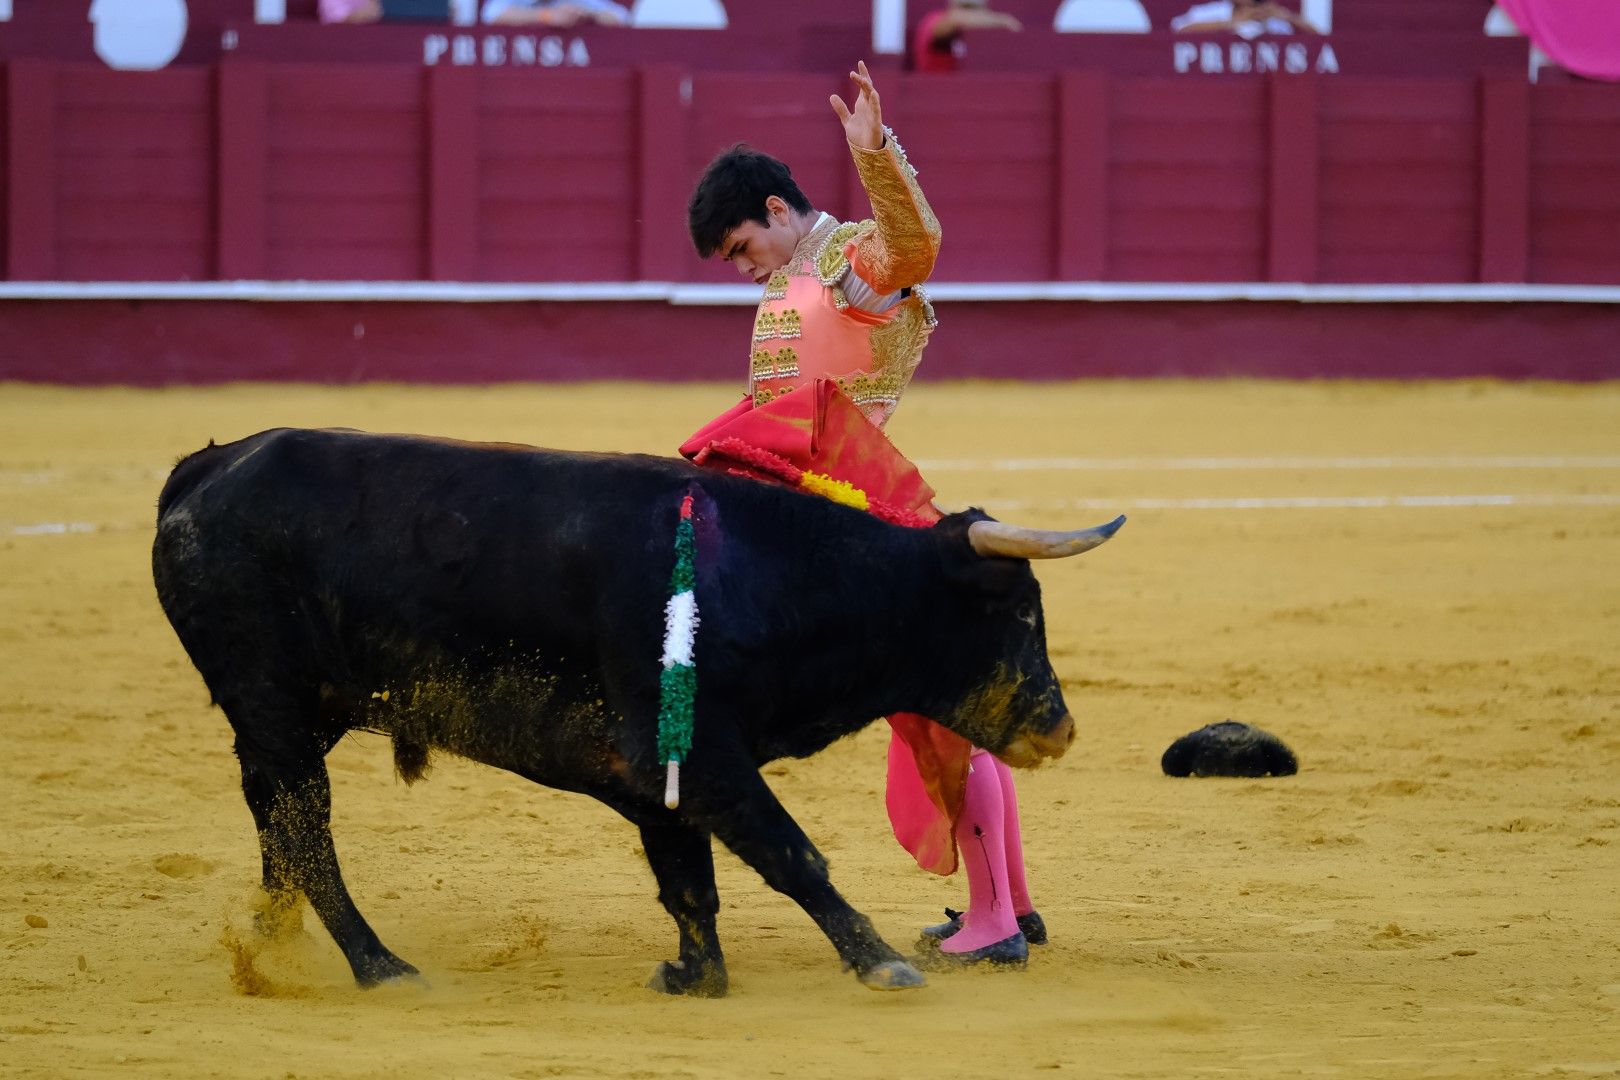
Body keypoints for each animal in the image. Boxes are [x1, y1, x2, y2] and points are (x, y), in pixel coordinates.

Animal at [152, 427, 1121, 997]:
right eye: (1018, 612)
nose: (1062, 729)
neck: (774, 577)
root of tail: (206, 467)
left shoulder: (662, 776)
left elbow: (691, 882)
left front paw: (695, 975)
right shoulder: (698, 758)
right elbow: (791, 854)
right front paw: (876, 960)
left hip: (292, 718)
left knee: (276, 820)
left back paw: (274, 947)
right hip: (274, 706)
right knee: (307, 829)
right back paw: (379, 965)